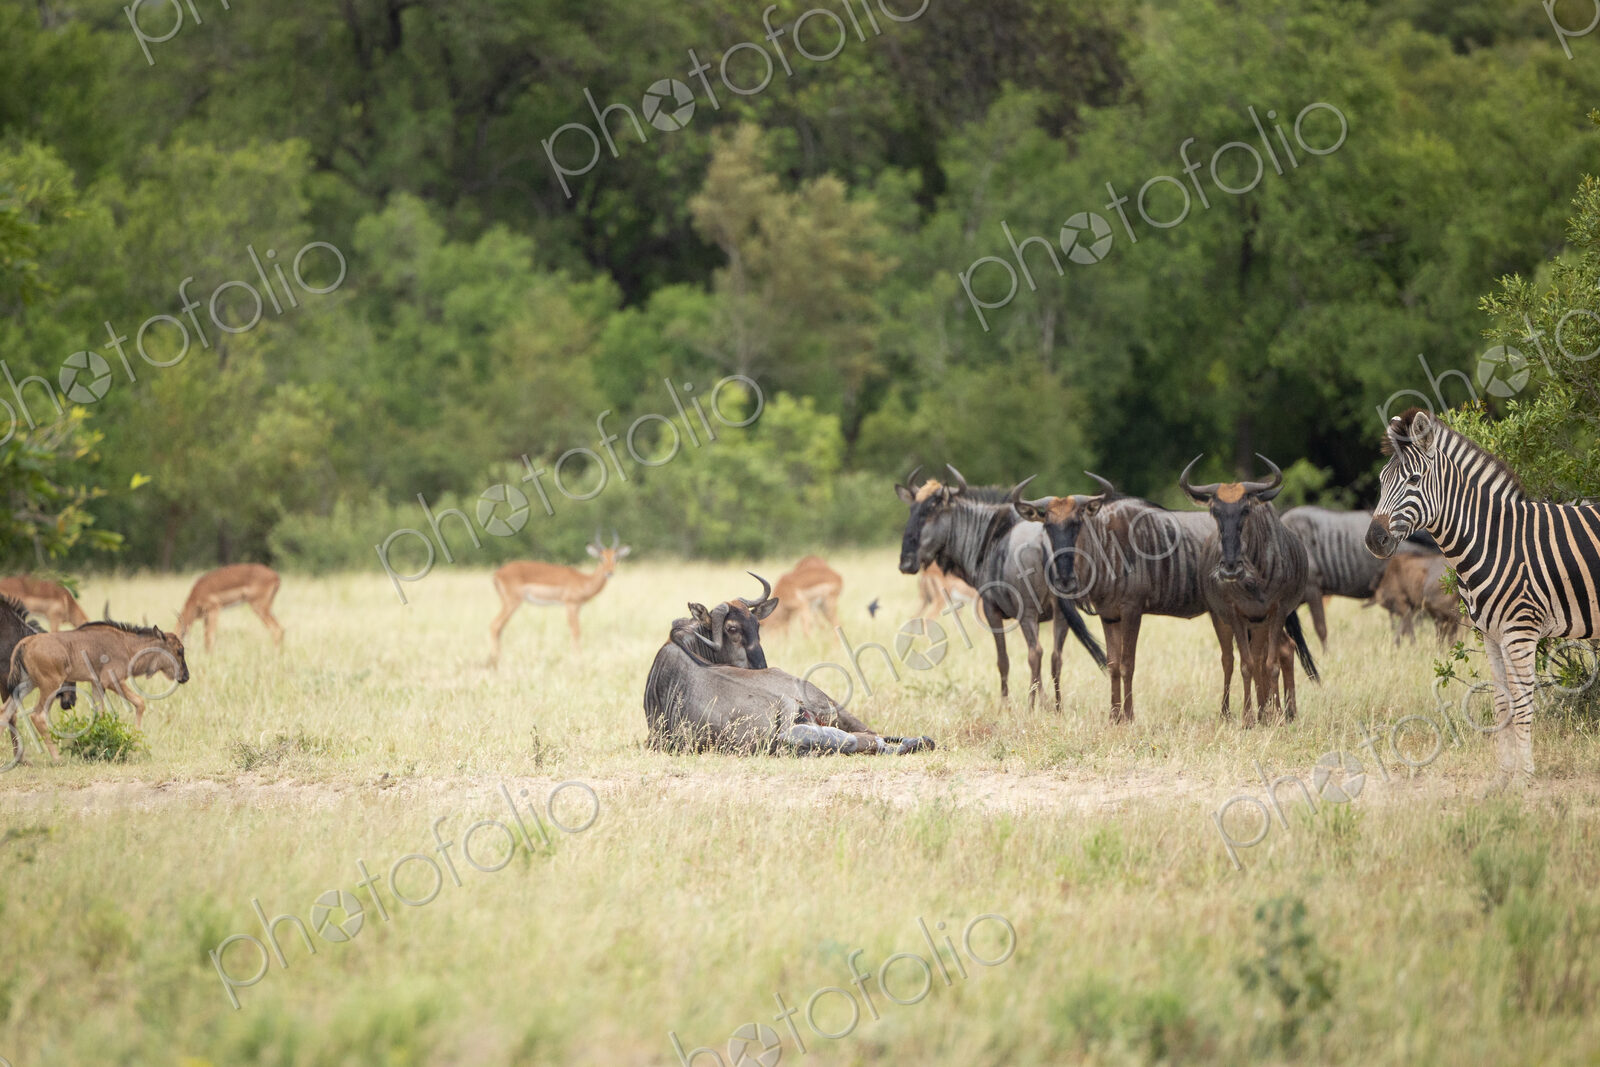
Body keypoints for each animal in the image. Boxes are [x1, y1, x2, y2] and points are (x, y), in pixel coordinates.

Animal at [7, 621, 189, 761]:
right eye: (179, 650)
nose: (186, 676)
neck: (127, 646)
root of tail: (26, 643)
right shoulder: (111, 680)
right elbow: (140, 702)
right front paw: (137, 746)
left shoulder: (97, 685)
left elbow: (99, 715)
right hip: (50, 686)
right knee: (38, 715)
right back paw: (58, 758)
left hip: (26, 686)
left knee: (6, 712)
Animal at [489, 530, 630, 665]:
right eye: (601, 558)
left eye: (616, 558)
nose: (609, 572)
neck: (583, 580)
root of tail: (498, 572)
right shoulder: (570, 605)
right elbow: (576, 630)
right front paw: (578, 657)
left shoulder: (578, 607)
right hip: (512, 602)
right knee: (495, 625)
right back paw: (496, 660)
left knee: (499, 627)